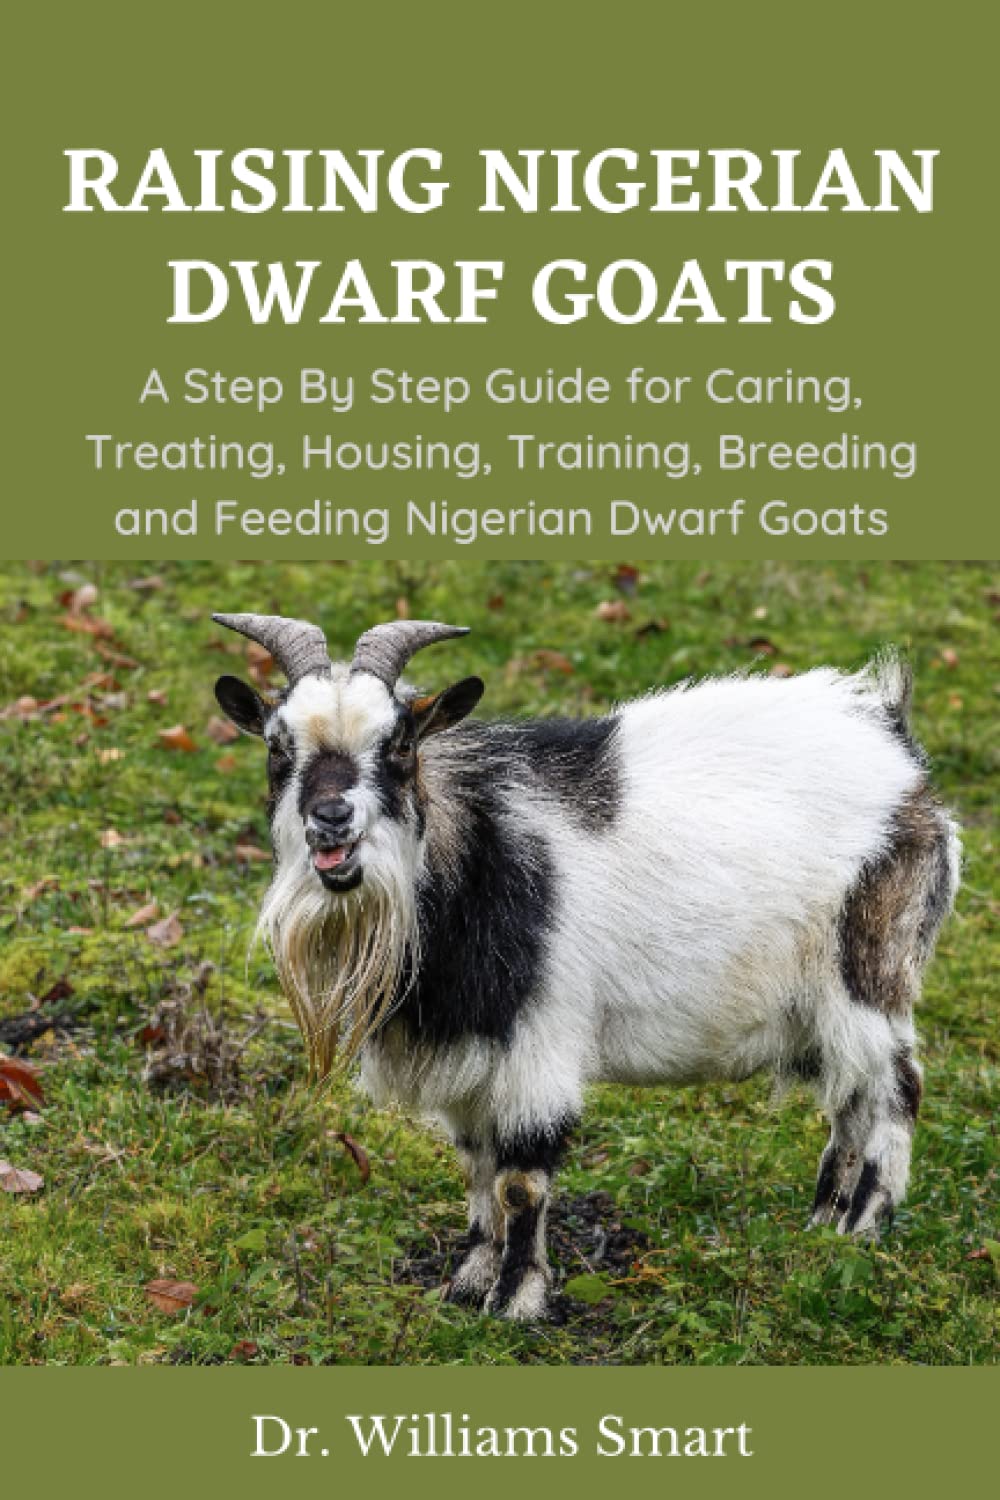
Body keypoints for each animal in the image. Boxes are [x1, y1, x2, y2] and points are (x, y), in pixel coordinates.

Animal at [212, 612, 960, 1321]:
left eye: (399, 744)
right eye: (278, 747)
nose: (331, 818)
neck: (475, 858)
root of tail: (891, 737)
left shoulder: (539, 1043)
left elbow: (519, 1182)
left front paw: (515, 1301)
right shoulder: (472, 1058)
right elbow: (477, 1168)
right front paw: (469, 1282)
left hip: (868, 968)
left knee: (897, 1087)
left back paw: (865, 1228)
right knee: (851, 1097)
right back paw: (822, 1224)